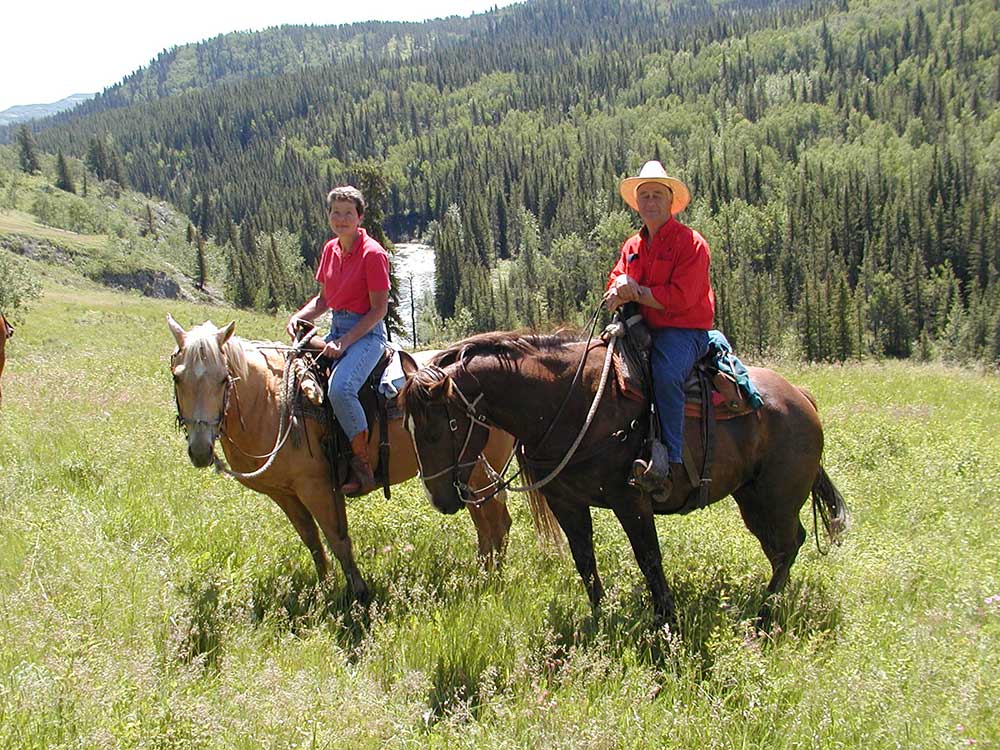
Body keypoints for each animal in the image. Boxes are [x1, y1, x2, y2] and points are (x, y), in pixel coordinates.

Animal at [164, 318, 556, 604]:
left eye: (222, 378)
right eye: (178, 376)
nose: (200, 449)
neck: (275, 401)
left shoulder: (317, 487)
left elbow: (337, 540)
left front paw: (359, 593)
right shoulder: (285, 494)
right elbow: (312, 540)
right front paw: (323, 588)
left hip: (478, 473)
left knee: (497, 522)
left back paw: (491, 579)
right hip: (464, 475)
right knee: (486, 525)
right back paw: (482, 572)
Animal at [402, 332, 848, 632]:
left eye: (442, 429)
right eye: (408, 427)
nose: (440, 499)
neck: (571, 406)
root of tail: (802, 396)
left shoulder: (631, 501)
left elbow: (649, 559)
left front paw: (666, 621)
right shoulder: (567, 503)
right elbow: (585, 560)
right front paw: (600, 618)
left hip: (775, 500)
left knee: (788, 545)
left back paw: (764, 613)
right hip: (753, 499)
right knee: (782, 548)